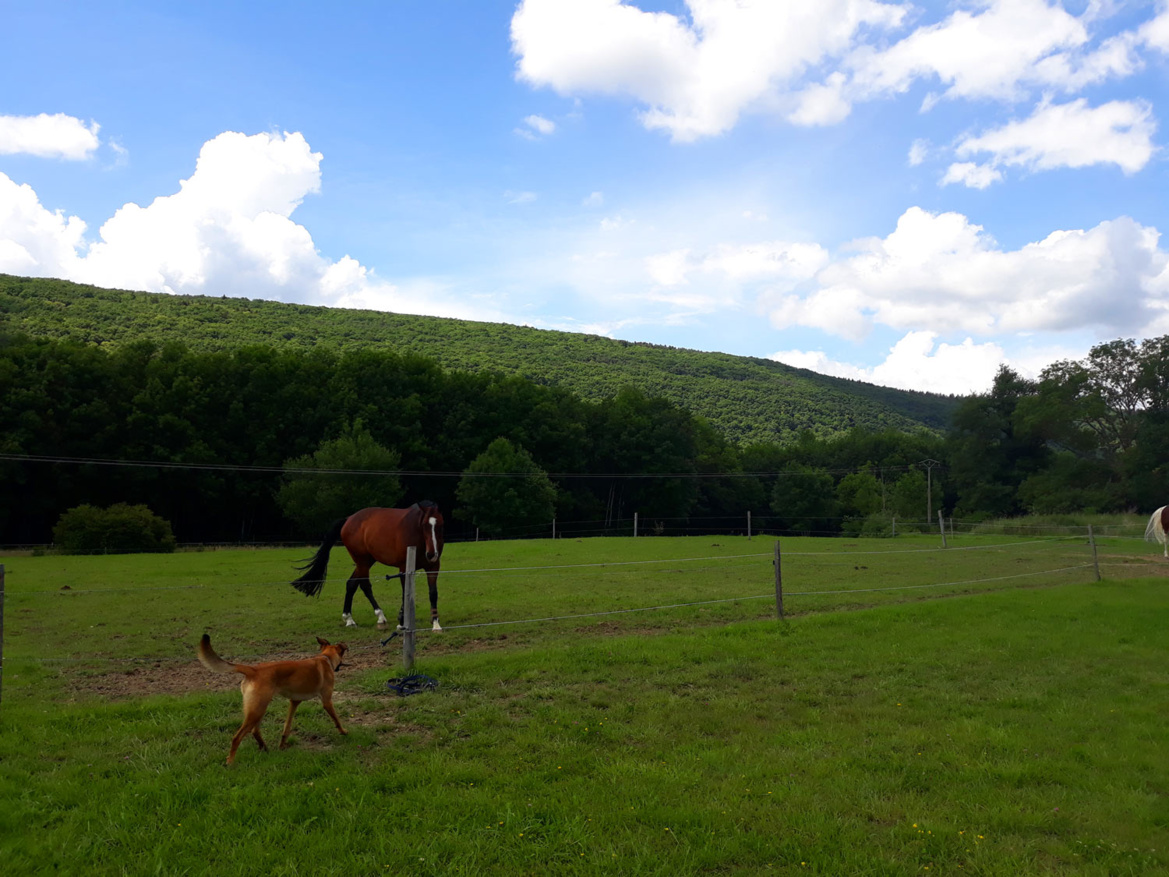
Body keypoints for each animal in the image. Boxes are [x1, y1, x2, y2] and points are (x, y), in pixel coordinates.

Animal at [196, 636, 348, 767]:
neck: (325, 658)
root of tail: (253, 669)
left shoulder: (294, 702)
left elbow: (287, 726)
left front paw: (282, 745)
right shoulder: (327, 701)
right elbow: (336, 719)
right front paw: (343, 731)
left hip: (259, 708)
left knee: (255, 731)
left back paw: (265, 748)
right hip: (257, 710)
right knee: (237, 737)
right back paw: (230, 761)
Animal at [289, 500, 444, 631]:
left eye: (440, 525)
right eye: (424, 525)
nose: (431, 554)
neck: (417, 535)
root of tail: (349, 519)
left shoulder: (433, 567)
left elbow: (433, 593)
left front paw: (435, 624)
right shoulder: (404, 568)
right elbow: (405, 593)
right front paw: (401, 622)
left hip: (366, 562)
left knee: (351, 584)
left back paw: (349, 618)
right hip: (362, 561)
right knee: (365, 585)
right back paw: (380, 616)